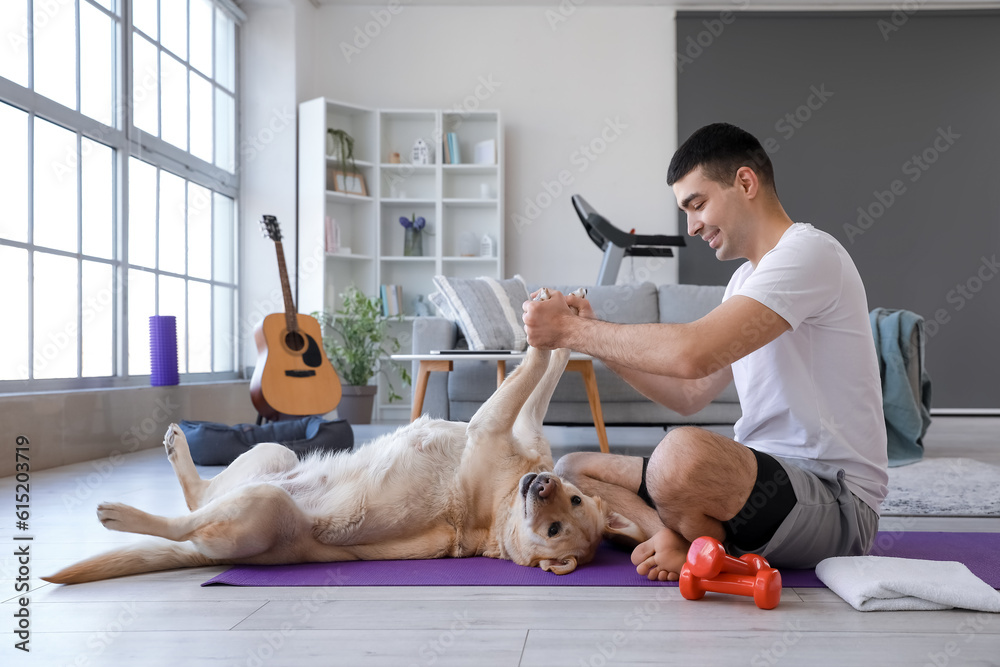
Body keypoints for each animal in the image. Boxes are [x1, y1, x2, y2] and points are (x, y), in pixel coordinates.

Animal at [43, 344, 644, 584]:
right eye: (573, 497)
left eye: (557, 529)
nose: (540, 484)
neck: (500, 514)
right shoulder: (518, 429)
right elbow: (543, 381)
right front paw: (563, 324)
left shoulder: (489, 425)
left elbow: (527, 371)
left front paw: (545, 332)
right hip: (277, 455)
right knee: (201, 494)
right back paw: (176, 447)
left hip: (263, 504)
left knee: (182, 521)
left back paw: (120, 513)